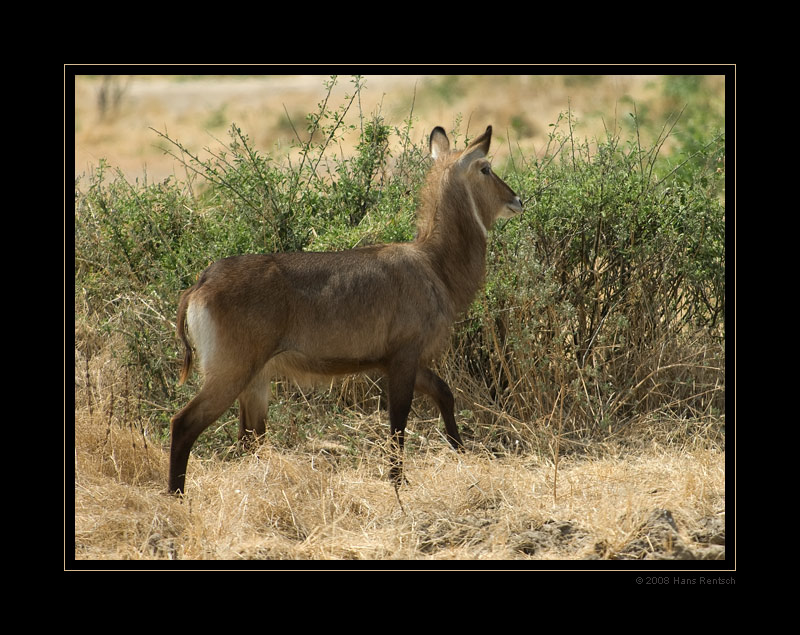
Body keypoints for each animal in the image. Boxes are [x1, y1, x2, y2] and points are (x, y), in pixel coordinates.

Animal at [167, 125, 524, 496]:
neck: (434, 264)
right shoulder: (404, 355)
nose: (517, 200)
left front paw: (460, 452)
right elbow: (398, 423)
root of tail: (202, 282)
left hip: (255, 379)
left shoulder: (395, 359)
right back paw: (176, 496)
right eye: (485, 168)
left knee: (249, 439)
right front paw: (398, 483)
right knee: (183, 424)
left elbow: (444, 393)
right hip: (231, 370)